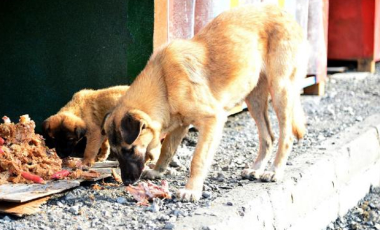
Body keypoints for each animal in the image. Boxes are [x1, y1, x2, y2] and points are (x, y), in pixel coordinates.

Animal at [102, 4, 308, 201]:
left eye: (129, 150)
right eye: (115, 153)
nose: (126, 182)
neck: (164, 83)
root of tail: (287, 15)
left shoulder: (212, 120)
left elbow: (198, 159)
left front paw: (191, 190)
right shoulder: (180, 125)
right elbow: (167, 149)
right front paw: (157, 171)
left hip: (280, 90)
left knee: (286, 136)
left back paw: (274, 171)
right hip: (254, 98)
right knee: (268, 137)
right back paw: (256, 169)